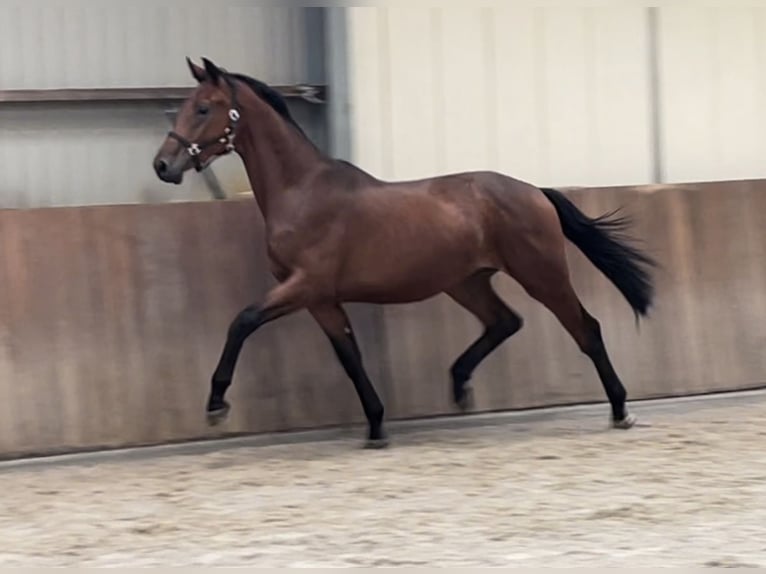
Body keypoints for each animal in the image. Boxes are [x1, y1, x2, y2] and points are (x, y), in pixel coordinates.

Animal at [153, 57, 656, 446]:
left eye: (203, 107)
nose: (163, 165)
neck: (302, 191)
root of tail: (535, 191)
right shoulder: (320, 299)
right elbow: (350, 357)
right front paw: (377, 427)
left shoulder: (304, 286)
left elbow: (242, 321)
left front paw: (216, 404)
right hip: (466, 282)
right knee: (505, 321)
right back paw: (460, 385)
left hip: (541, 274)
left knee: (585, 329)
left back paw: (620, 410)